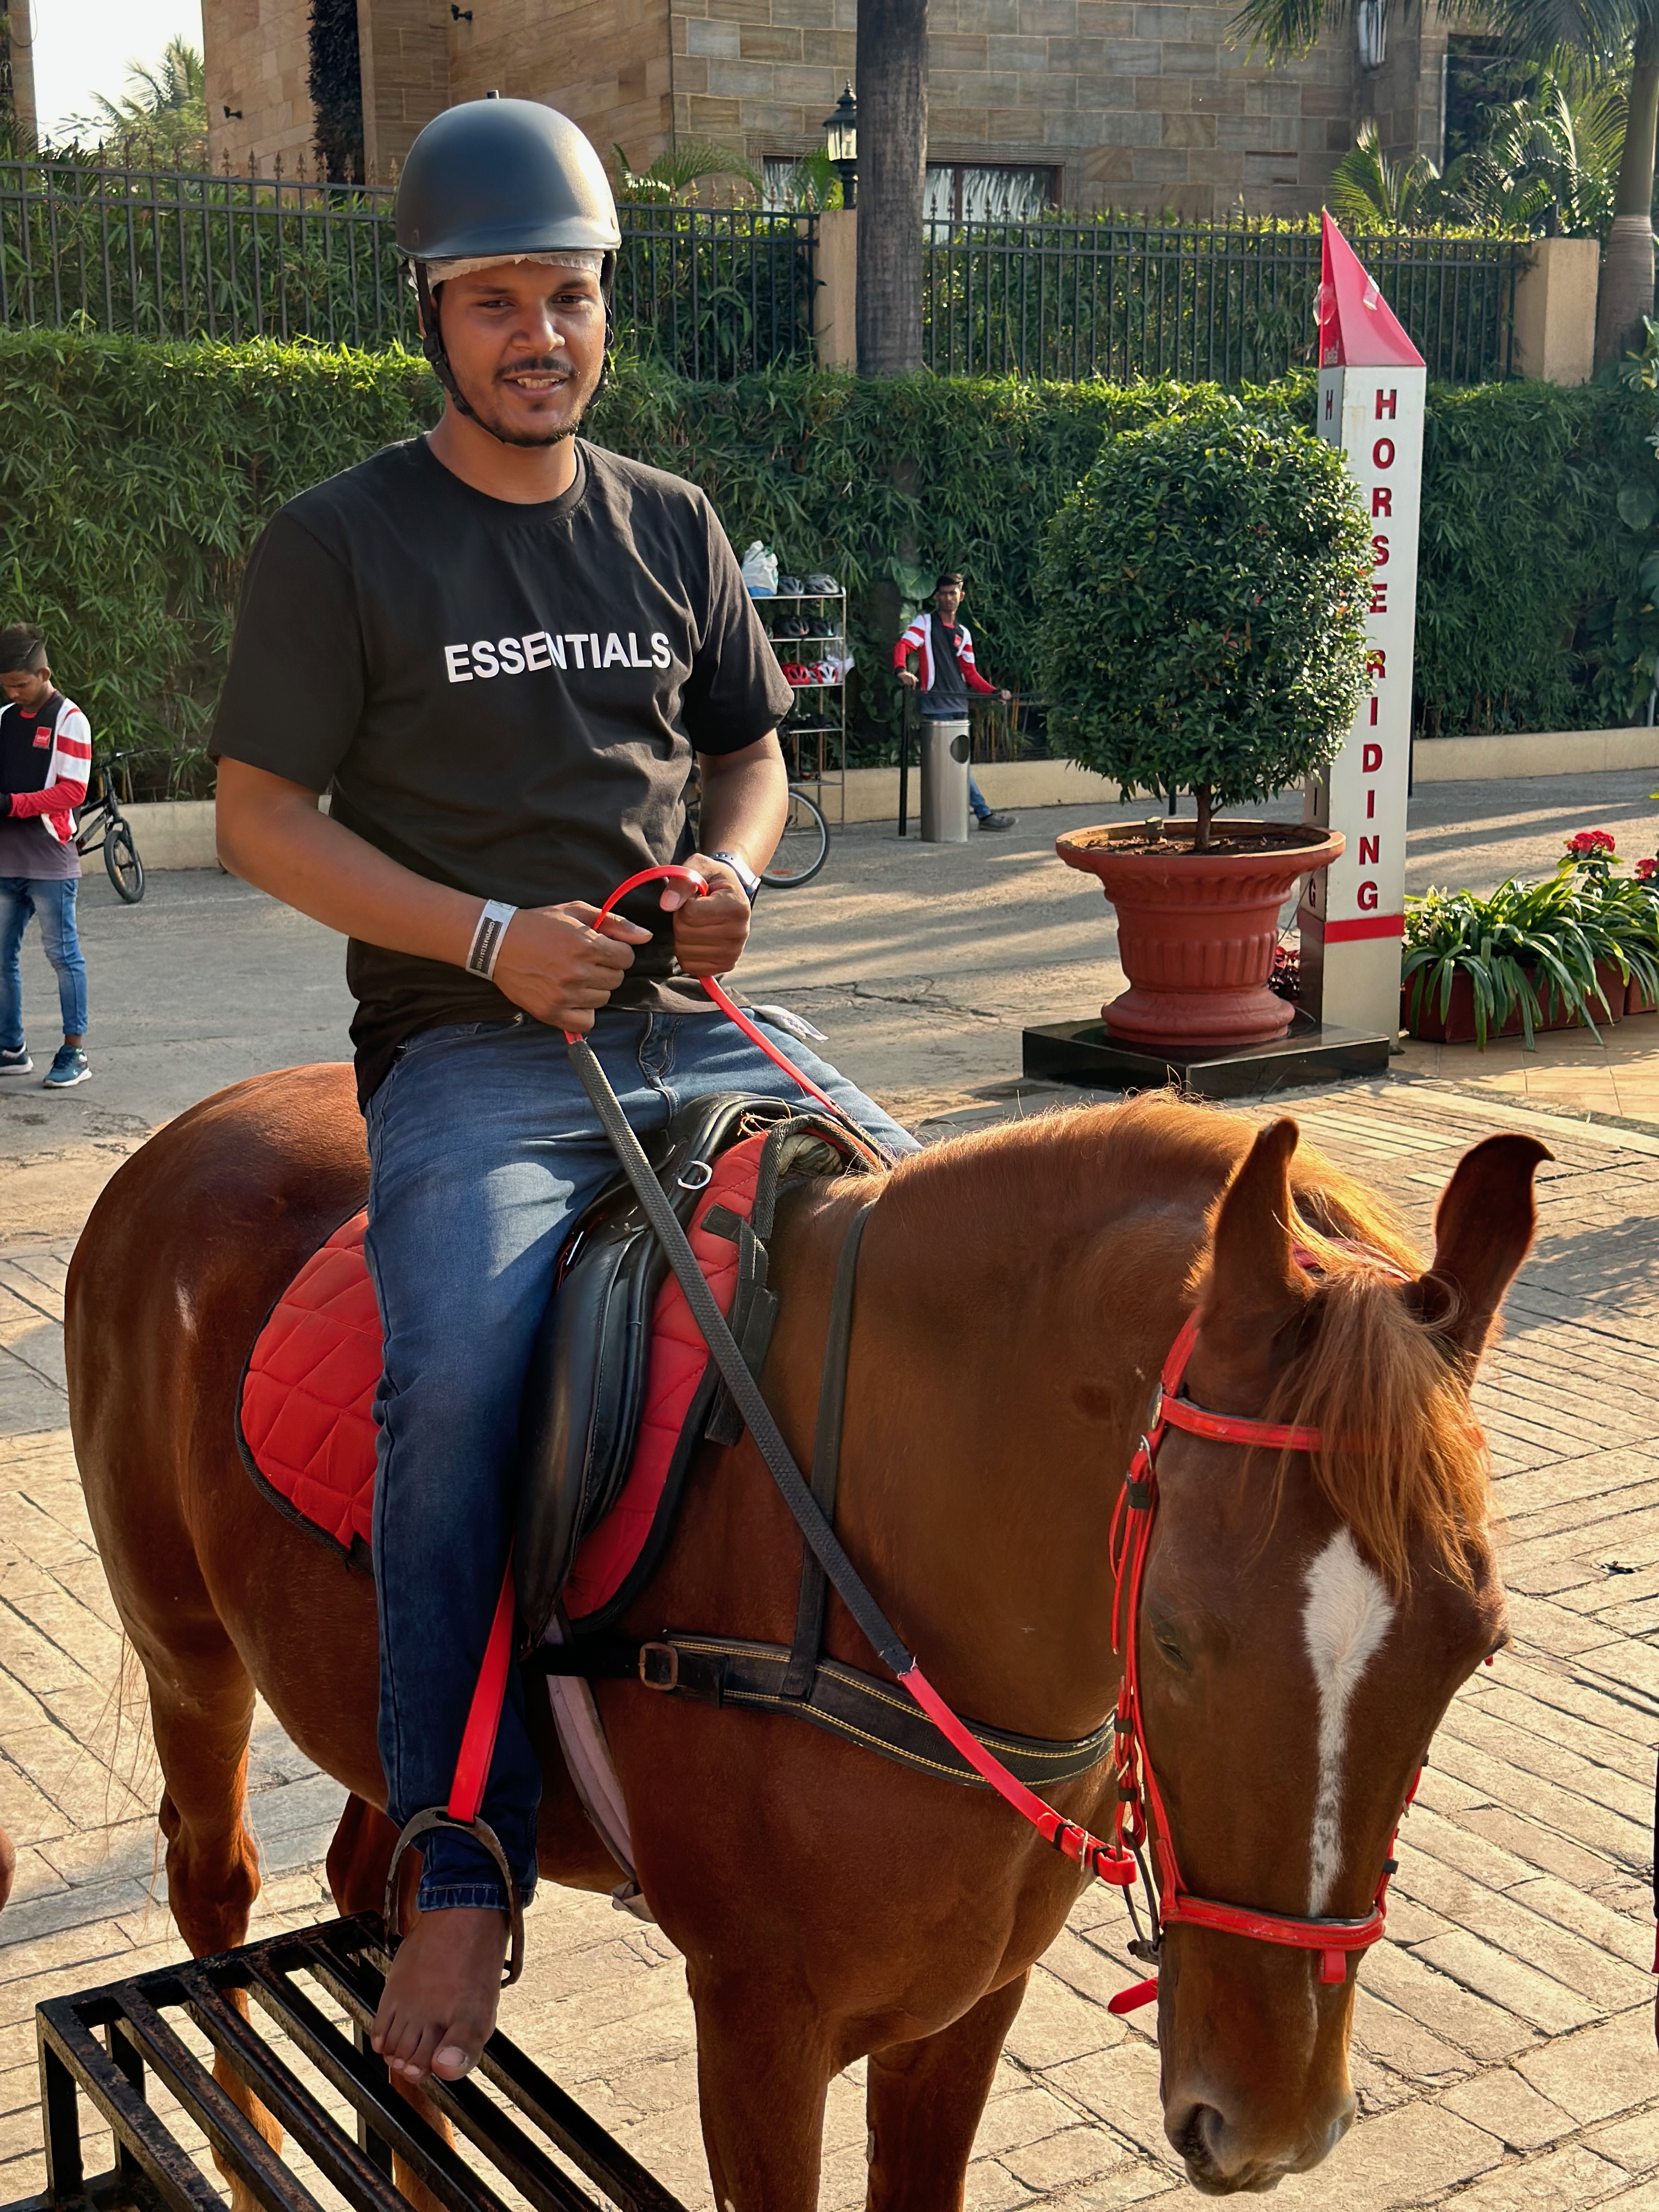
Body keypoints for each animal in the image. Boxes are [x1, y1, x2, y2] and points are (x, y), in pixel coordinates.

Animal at [64, 1065, 1544, 2205]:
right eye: (1172, 1636)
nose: (1275, 2120)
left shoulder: (970, 2007)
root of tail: (187, 1134)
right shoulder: (757, 2032)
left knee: (383, 1873)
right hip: (188, 1654)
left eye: (1478, 1645)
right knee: (216, 1883)